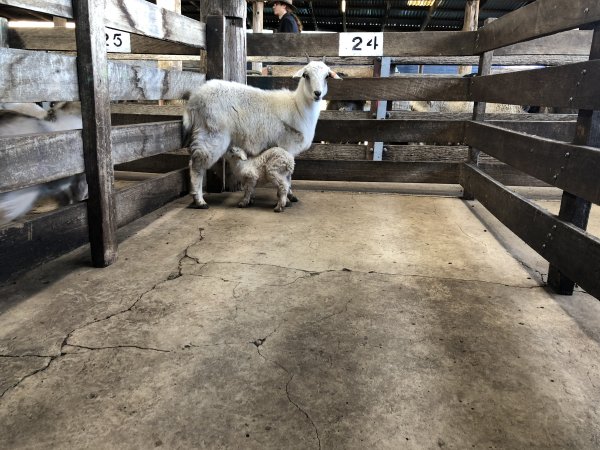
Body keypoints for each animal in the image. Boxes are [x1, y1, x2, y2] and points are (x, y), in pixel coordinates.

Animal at [182, 60, 342, 210]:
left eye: (327, 76)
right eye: (306, 75)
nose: (317, 93)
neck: (298, 107)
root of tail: (194, 99)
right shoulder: (287, 146)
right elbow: (288, 176)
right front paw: (287, 198)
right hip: (212, 133)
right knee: (196, 165)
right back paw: (199, 201)